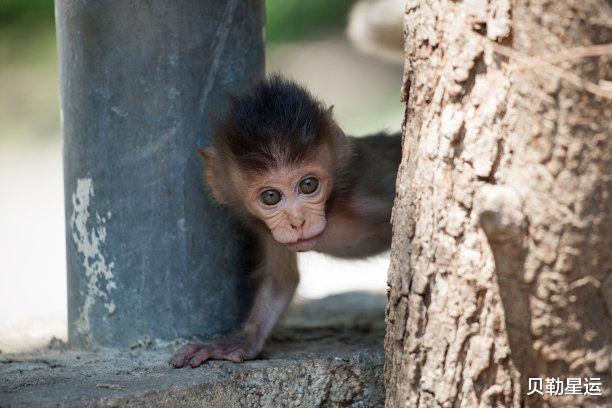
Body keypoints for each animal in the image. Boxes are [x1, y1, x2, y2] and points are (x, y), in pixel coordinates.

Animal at [172, 75, 402, 366]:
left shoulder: (369, 199)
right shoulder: (266, 230)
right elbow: (281, 281)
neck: (333, 207)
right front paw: (238, 342)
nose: (297, 221)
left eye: (308, 185)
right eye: (271, 196)